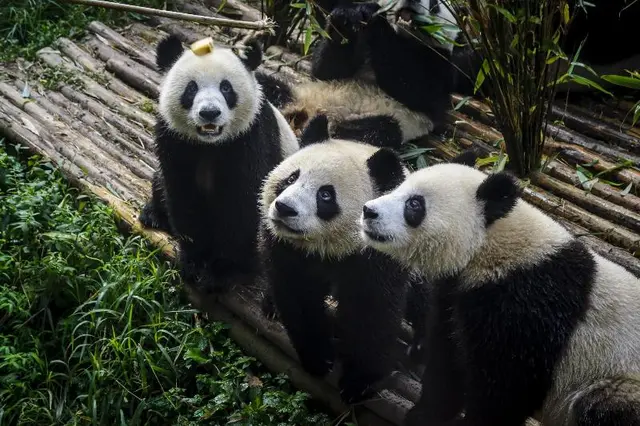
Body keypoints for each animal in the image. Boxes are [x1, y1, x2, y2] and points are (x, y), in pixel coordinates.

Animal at [137, 34, 299, 294]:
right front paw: (194, 262)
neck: (210, 144)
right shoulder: (175, 139)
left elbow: (240, 205)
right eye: (191, 88)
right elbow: (183, 195)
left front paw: (219, 271)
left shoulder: (250, 138)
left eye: (226, 88)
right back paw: (153, 214)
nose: (209, 113)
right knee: (159, 182)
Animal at [359, 159, 640, 425]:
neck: (489, 245)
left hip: (617, 379)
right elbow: (449, 358)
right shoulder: (459, 294)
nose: (369, 211)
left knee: (601, 405)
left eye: (414, 204)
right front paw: (425, 415)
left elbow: (506, 388)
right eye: (398, 187)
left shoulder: (527, 304)